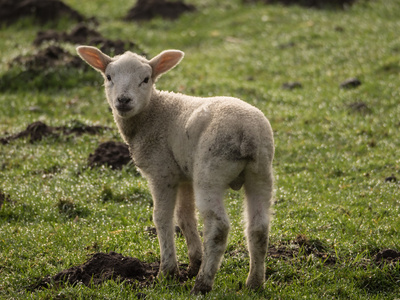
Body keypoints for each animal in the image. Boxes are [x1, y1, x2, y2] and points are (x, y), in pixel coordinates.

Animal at [76, 45, 276, 294]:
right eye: (109, 77)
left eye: (146, 79)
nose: (123, 100)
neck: (153, 113)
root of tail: (247, 135)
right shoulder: (184, 175)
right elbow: (185, 216)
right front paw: (194, 262)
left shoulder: (162, 172)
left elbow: (162, 217)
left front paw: (168, 271)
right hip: (261, 172)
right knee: (259, 228)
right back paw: (254, 283)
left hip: (210, 172)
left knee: (218, 227)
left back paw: (202, 284)